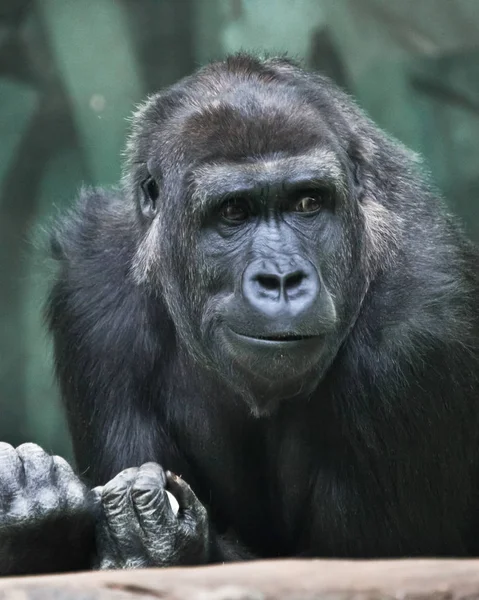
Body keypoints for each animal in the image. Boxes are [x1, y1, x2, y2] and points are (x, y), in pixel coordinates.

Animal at [0, 54, 479, 576]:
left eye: (308, 202)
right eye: (234, 211)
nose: (282, 279)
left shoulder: (418, 333)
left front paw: (169, 543)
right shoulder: (92, 295)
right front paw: (41, 525)